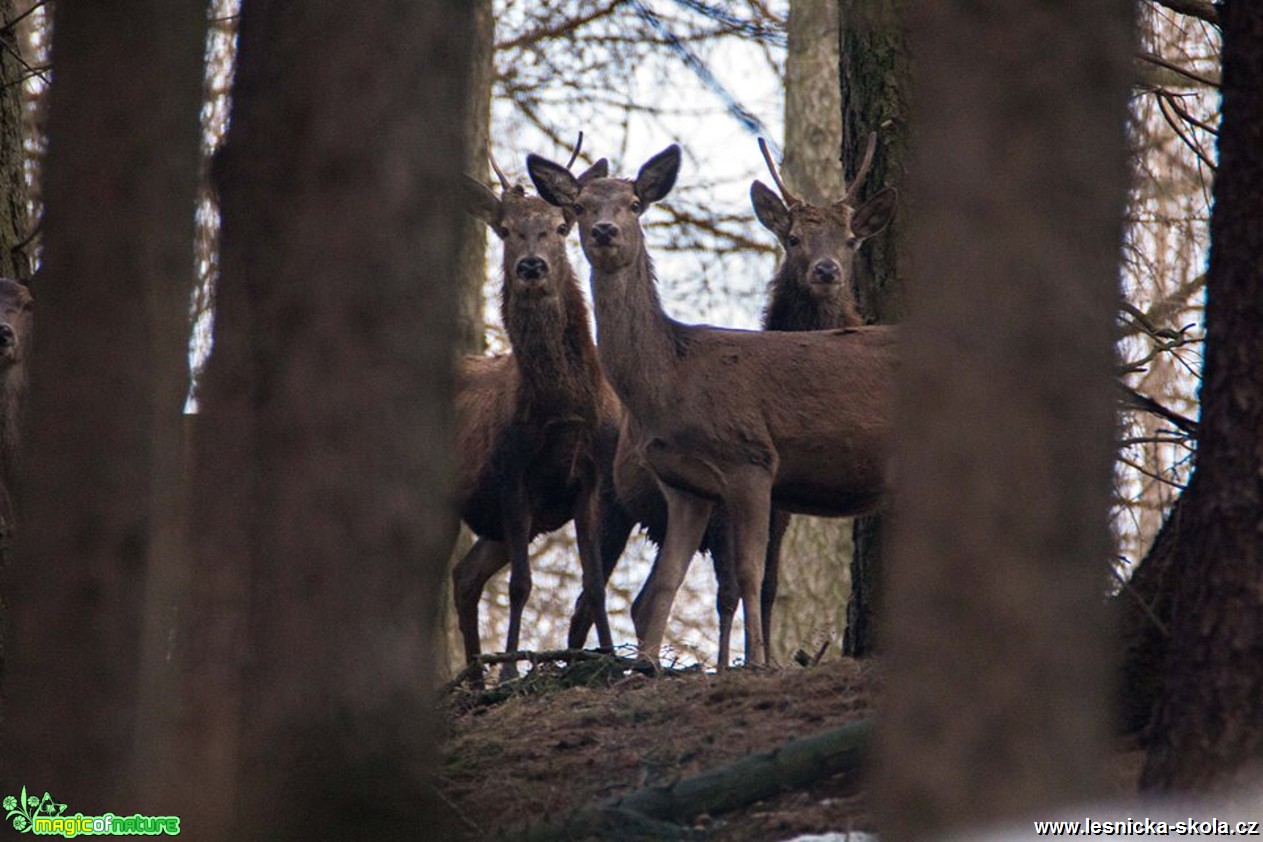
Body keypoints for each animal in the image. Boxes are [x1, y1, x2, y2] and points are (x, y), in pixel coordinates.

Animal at [449, 148, 621, 681]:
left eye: (562, 227)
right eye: (505, 230)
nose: (531, 265)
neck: (563, 409)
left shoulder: (593, 478)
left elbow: (594, 583)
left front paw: (612, 661)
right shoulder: (511, 472)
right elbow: (521, 585)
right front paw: (510, 670)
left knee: (464, 576)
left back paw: (476, 678)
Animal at [530, 146, 899, 671]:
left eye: (635, 204)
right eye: (578, 207)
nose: (604, 231)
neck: (671, 379)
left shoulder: (751, 460)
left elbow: (749, 576)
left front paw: (757, 664)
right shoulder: (684, 484)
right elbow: (668, 581)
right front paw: (647, 666)